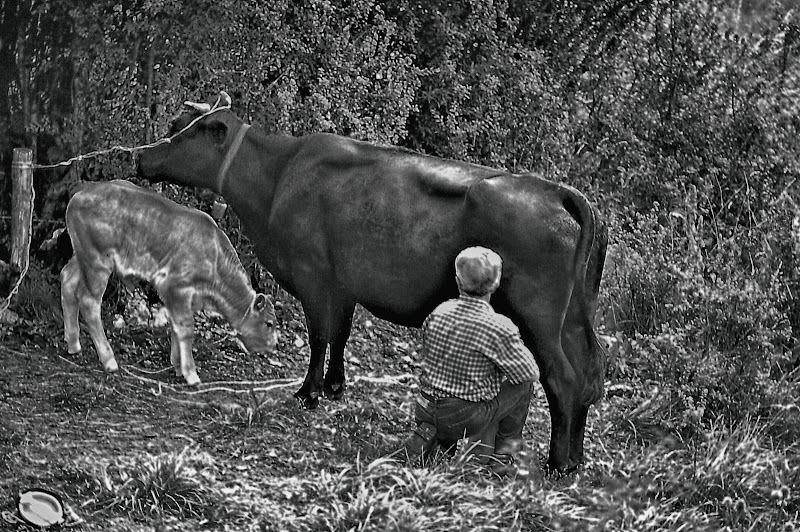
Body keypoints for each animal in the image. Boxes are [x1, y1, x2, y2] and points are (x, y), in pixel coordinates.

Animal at [60, 181, 278, 384]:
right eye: (269, 323)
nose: (274, 344)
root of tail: (79, 195)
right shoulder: (176, 285)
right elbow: (186, 328)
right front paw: (191, 374)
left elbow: (176, 325)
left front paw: (178, 366)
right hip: (97, 260)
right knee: (89, 302)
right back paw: (109, 360)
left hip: (81, 255)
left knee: (67, 279)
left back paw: (73, 344)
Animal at [138, 92, 608, 474]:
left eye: (178, 130)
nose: (140, 156)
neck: (276, 177)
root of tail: (557, 191)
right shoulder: (343, 283)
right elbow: (341, 334)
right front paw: (334, 387)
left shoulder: (313, 274)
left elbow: (320, 335)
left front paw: (308, 392)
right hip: (573, 319)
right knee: (589, 374)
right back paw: (575, 459)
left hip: (538, 316)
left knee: (563, 379)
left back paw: (557, 463)